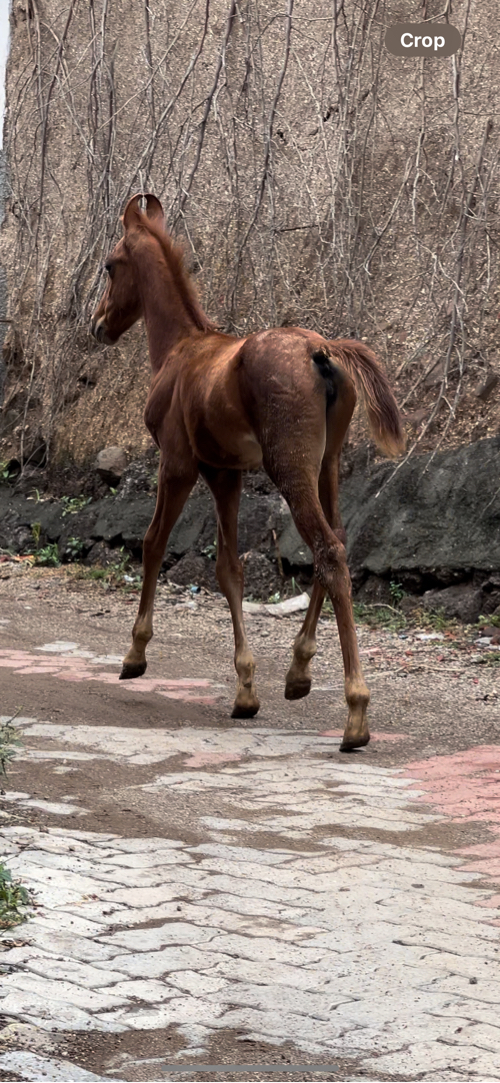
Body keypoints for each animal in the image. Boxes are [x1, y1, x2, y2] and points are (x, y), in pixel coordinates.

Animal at [90, 194, 406, 749]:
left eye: (111, 265)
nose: (98, 323)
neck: (179, 348)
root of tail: (321, 351)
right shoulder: (225, 472)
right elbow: (228, 569)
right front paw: (246, 689)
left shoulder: (178, 464)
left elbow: (153, 545)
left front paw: (135, 654)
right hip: (327, 463)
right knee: (338, 541)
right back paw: (298, 673)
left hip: (289, 466)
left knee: (327, 550)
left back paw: (355, 714)